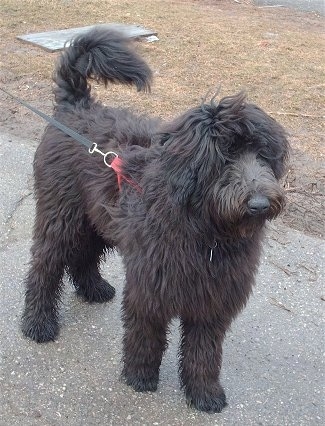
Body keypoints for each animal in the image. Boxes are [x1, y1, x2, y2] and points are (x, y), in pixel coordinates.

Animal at [20, 26, 288, 412]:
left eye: (263, 155)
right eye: (224, 157)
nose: (260, 203)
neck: (205, 231)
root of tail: (76, 106)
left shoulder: (214, 297)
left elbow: (204, 351)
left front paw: (204, 392)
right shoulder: (151, 283)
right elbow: (146, 332)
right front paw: (141, 376)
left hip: (95, 217)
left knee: (83, 255)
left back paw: (93, 289)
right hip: (61, 215)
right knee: (45, 265)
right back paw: (38, 323)